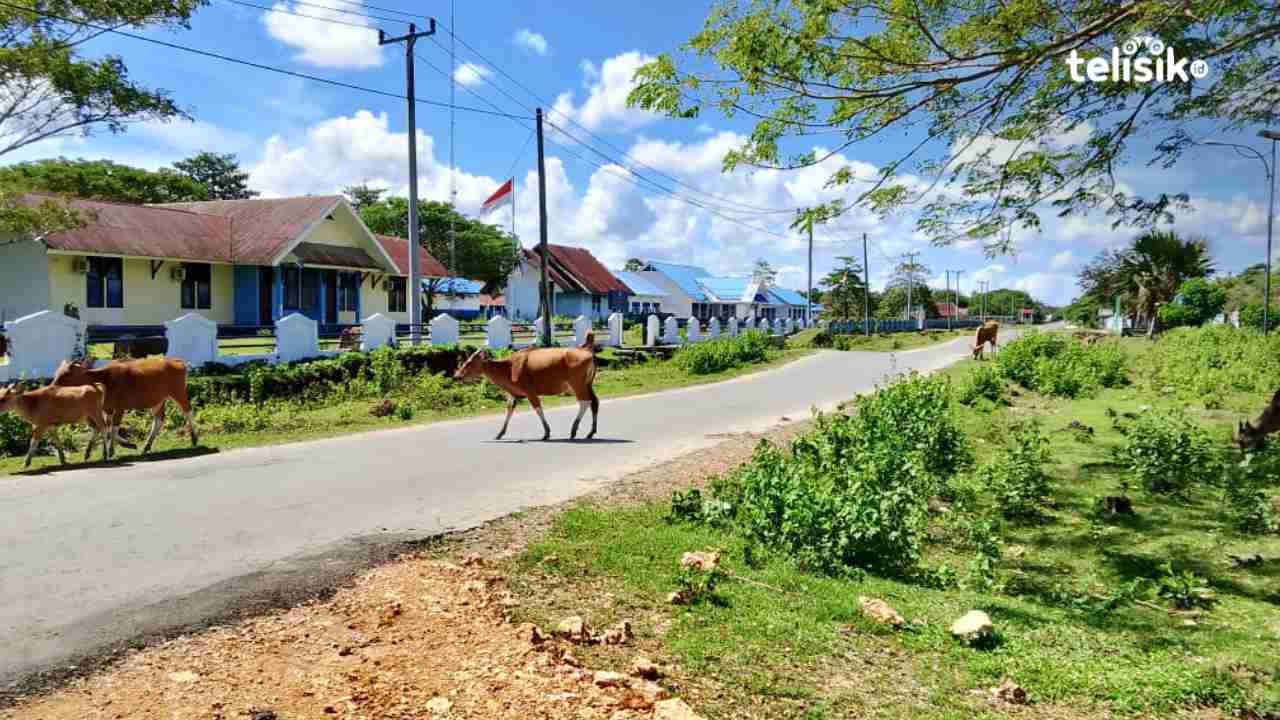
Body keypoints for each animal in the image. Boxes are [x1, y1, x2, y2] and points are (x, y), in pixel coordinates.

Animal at [53, 356, 197, 456]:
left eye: (67, 373)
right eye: (57, 372)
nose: (53, 385)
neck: (105, 380)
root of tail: (178, 361)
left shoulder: (120, 408)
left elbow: (113, 428)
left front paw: (111, 450)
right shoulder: (107, 409)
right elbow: (105, 428)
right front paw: (127, 445)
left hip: (178, 392)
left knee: (188, 412)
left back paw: (194, 438)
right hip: (157, 400)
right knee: (159, 419)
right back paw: (147, 446)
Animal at [455, 330, 599, 440]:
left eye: (469, 362)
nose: (458, 375)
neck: (509, 368)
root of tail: (587, 351)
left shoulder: (530, 391)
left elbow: (538, 408)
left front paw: (546, 433)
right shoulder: (514, 393)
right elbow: (509, 409)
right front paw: (499, 433)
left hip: (577, 384)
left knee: (585, 401)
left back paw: (574, 429)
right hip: (588, 384)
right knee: (594, 402)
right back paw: (591, 432)